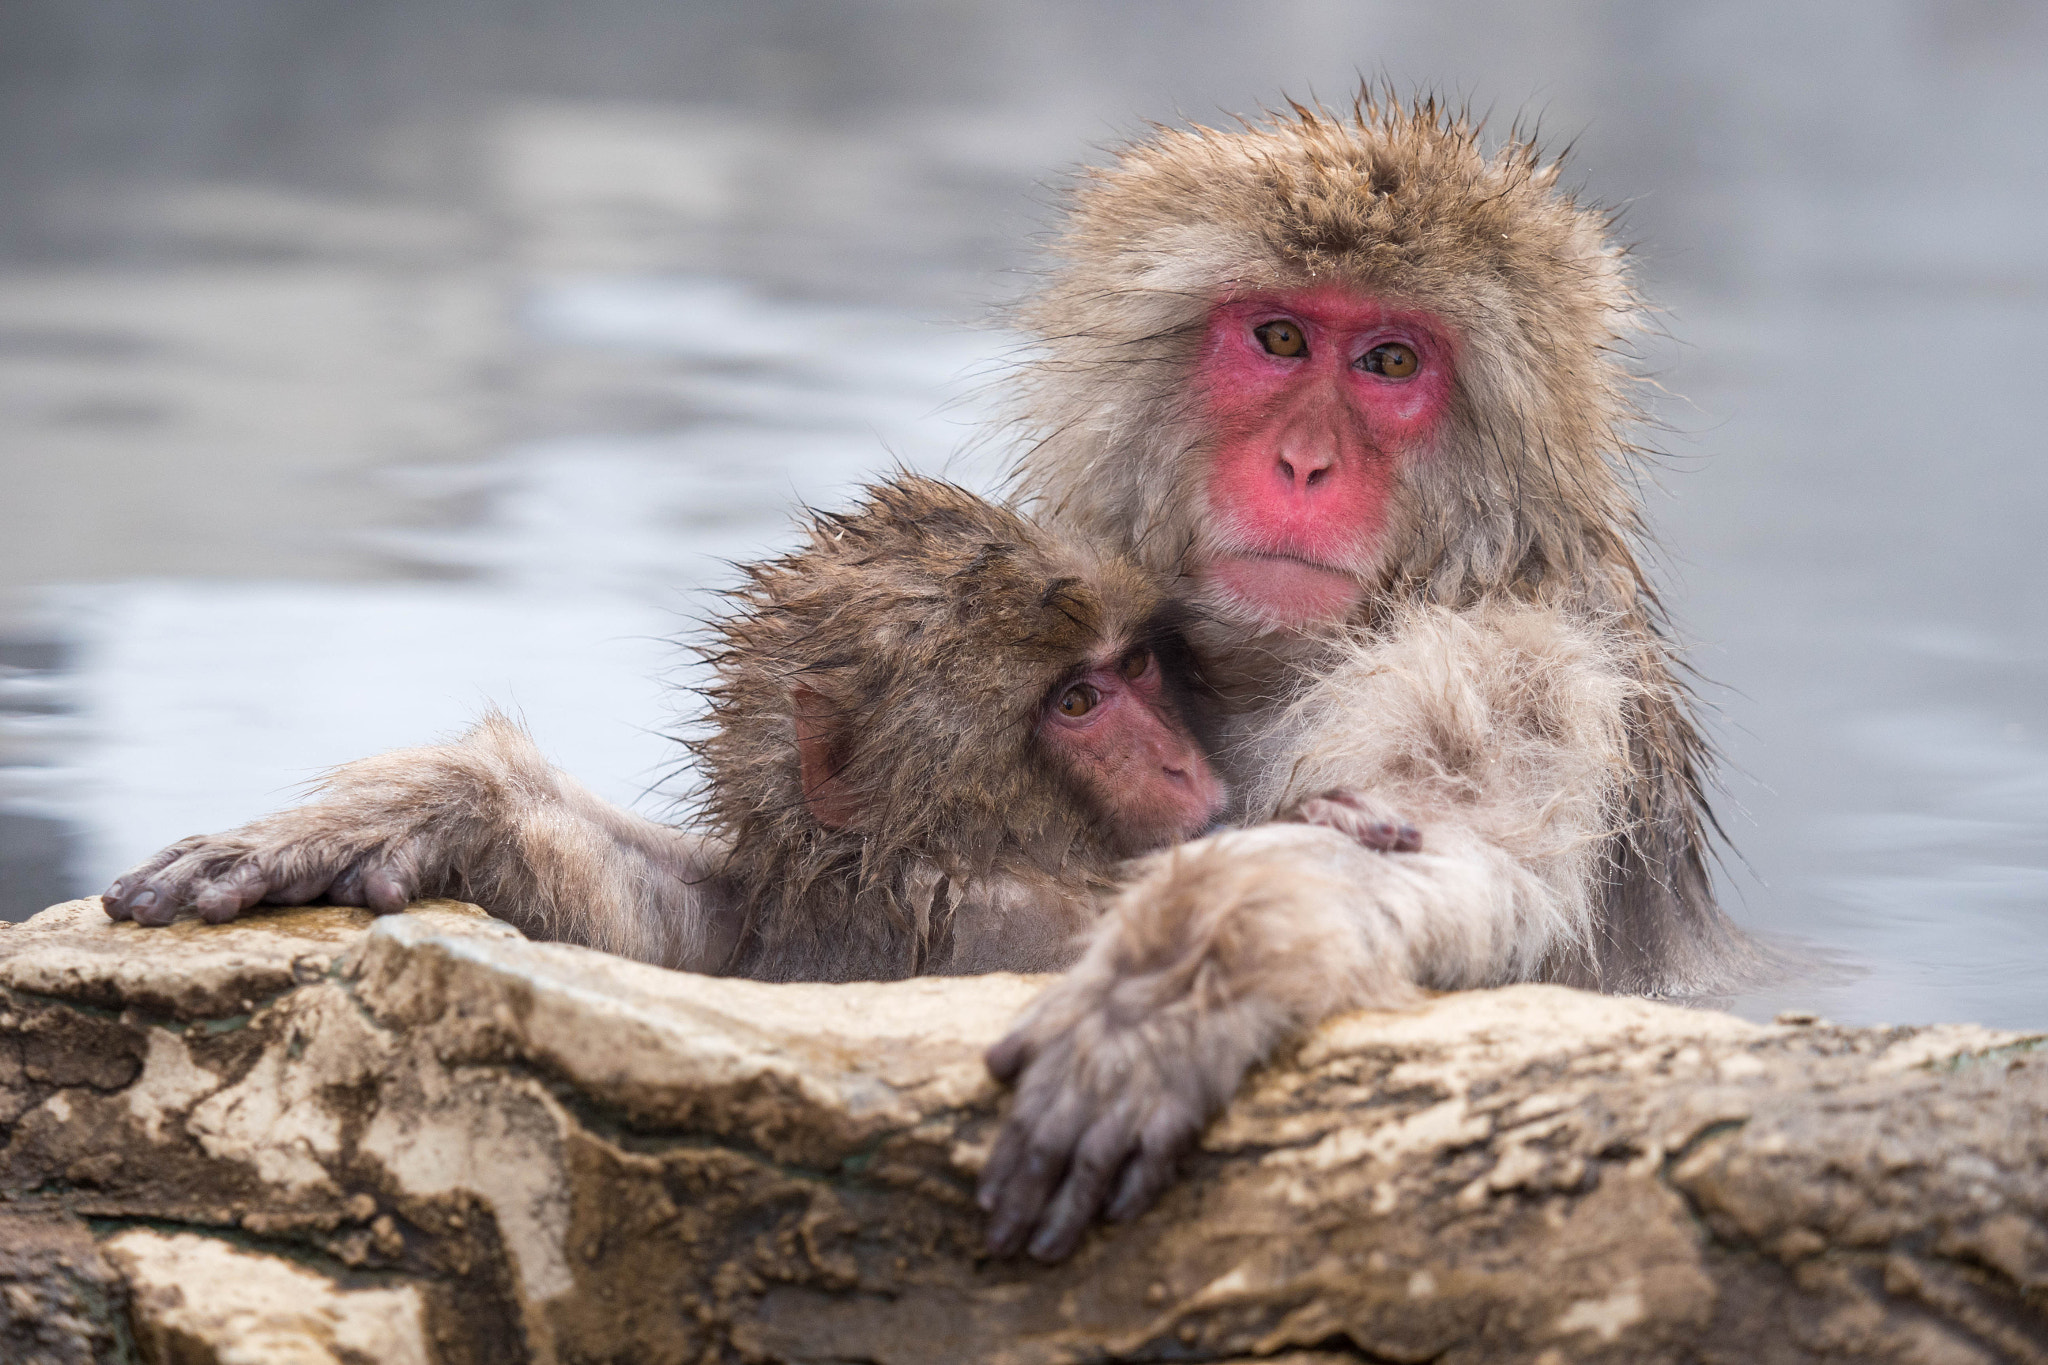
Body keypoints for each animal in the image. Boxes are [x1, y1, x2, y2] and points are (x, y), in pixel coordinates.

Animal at [970, 96, 1761, 1268]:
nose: (1304, 465)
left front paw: (1190, 969)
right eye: (1281, 339)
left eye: (1390, 361)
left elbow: (1440, 847)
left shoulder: (1516, 668)